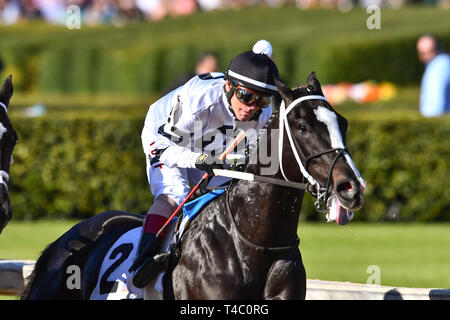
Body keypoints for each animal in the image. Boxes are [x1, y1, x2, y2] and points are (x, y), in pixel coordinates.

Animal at [22, 73, 366, 300]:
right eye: (302, 126)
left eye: (343, 122)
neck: (254, 245)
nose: (351, 187)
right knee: (169, 192)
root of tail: (65, 239)